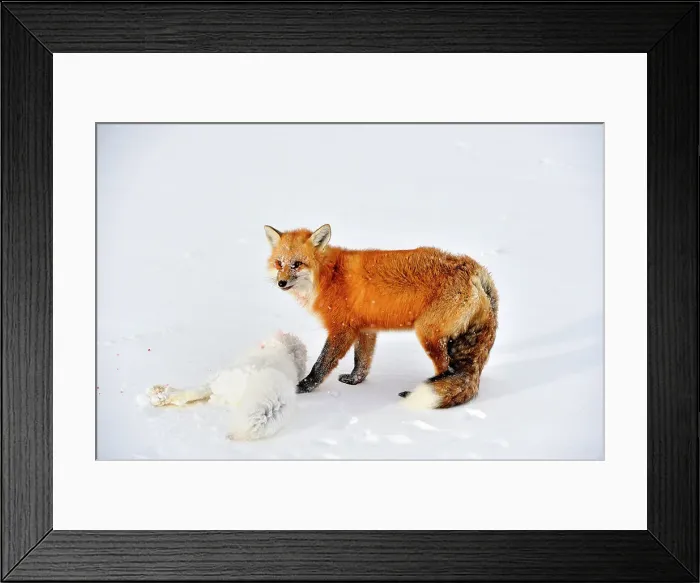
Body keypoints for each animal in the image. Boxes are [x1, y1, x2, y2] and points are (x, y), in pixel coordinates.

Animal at [264, 224, 499, 409]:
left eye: (297, 264)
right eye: (279, 263)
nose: (281, 283)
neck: (329, 276)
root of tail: (474, 269)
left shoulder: (342, 329)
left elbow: (321, 365)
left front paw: (301, 388)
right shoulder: (365, 329)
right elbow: (362, 362)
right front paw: (354, 381)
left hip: (428, 334)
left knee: (446, 369)